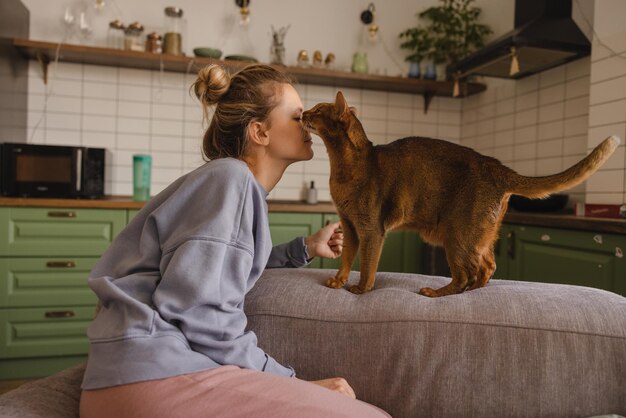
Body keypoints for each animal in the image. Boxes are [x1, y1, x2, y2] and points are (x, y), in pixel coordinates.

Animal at [302, 91, 620, 298]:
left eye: (317, 111)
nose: (302, 112)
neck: (345, 165)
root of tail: (497, 166)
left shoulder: (371, 229)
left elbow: (368, 264)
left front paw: (361, 289)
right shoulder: (349, 226)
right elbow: (346, 257)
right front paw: (339, 281)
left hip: (456, 236)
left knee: (467, 272)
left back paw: (436, 292)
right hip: (477, 236)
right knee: (487, 266)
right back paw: (474, 292)